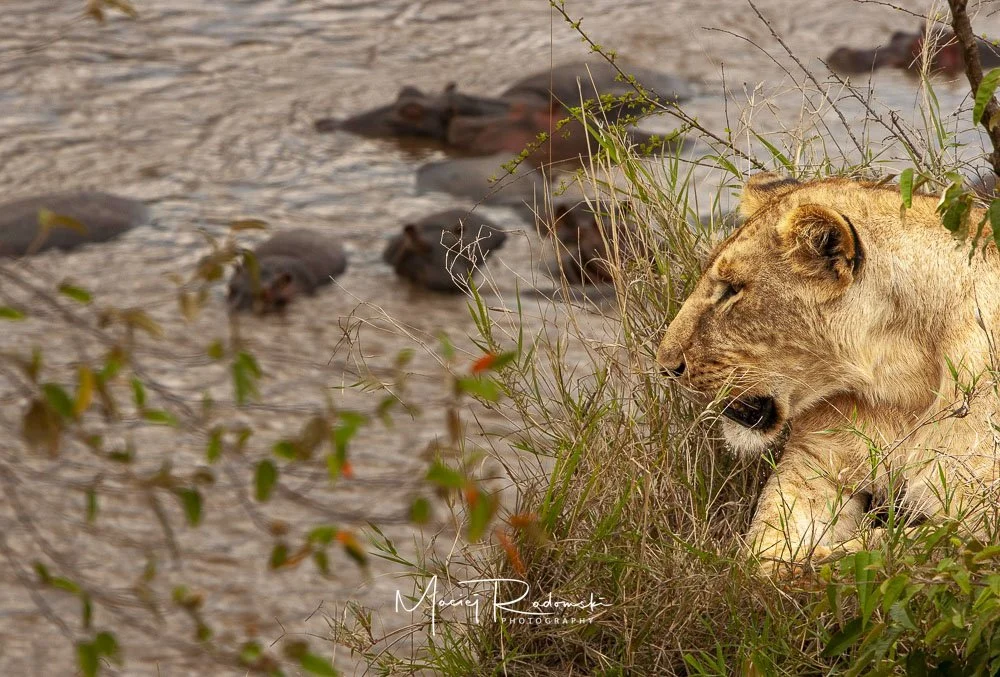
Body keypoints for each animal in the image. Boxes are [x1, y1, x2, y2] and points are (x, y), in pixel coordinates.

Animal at [656, 173, 1000, 573]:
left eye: (732, 290)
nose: (665, 366)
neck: (903, 382)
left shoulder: (983, 508)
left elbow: (891, 547)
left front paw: (809, 563)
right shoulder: (813, 464)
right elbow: (769, 532)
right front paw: (773, 563)